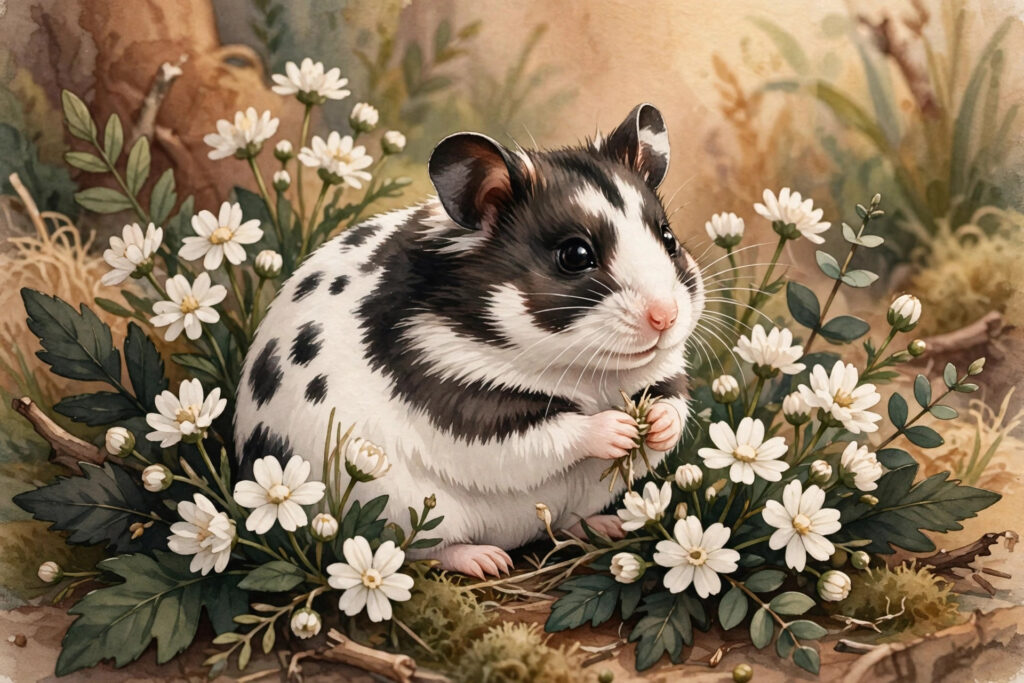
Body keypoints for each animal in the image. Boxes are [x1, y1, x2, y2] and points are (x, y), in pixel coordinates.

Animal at [234, 104, 705, 577]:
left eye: (668, 238)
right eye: (575, 255)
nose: (666, 316)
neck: (585, 372)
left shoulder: (664, 375)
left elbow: (672, 407)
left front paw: (655, 425)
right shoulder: (462, 399)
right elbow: (550, 434)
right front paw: (619, 428)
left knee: (566, 520)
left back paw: (607, 528)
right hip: (397, 505)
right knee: (419, 548)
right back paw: (488, 561)